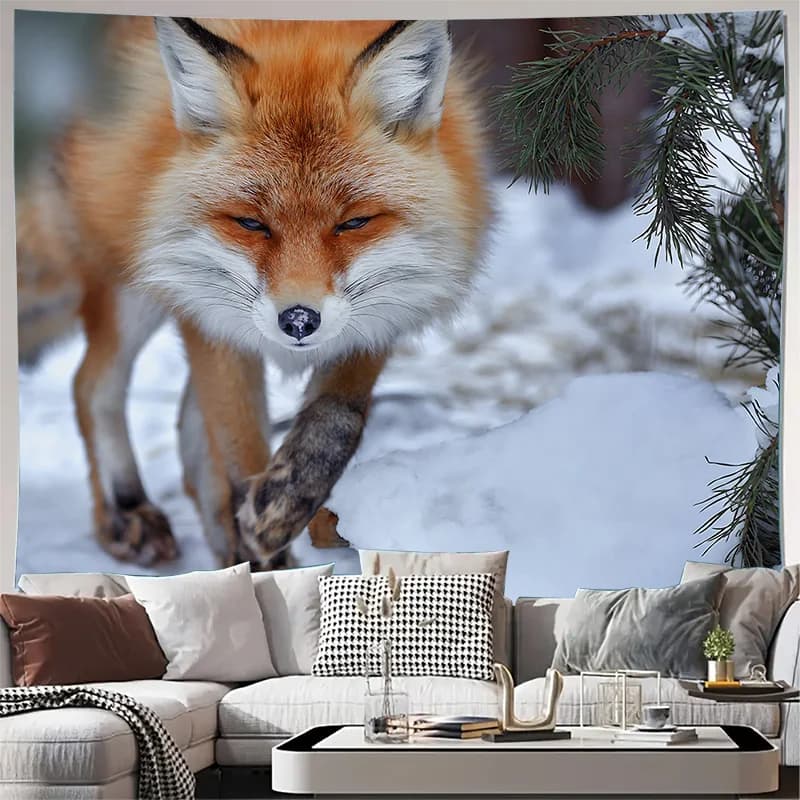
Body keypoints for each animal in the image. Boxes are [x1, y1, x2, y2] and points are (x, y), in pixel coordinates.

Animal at [15, 18, 490, 569]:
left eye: (353, 223)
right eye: (251, 224)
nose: (299, 321)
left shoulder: (387, 303)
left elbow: (338, 419)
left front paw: (285, 501)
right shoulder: (207, 311)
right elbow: (240, 456)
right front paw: (267, 567)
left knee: (180, 426)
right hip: (133, 275)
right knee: (91, 385)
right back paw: (126, 511)